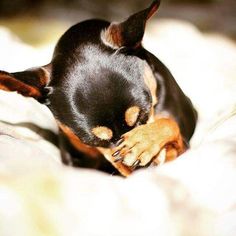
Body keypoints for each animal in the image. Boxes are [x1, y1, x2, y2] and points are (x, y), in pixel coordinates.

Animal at [0, 0, 197, 176]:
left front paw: (142, 142)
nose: (143, 170)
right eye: (92, 141)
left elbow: (169, 124)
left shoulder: (182, 145)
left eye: (143, 116)